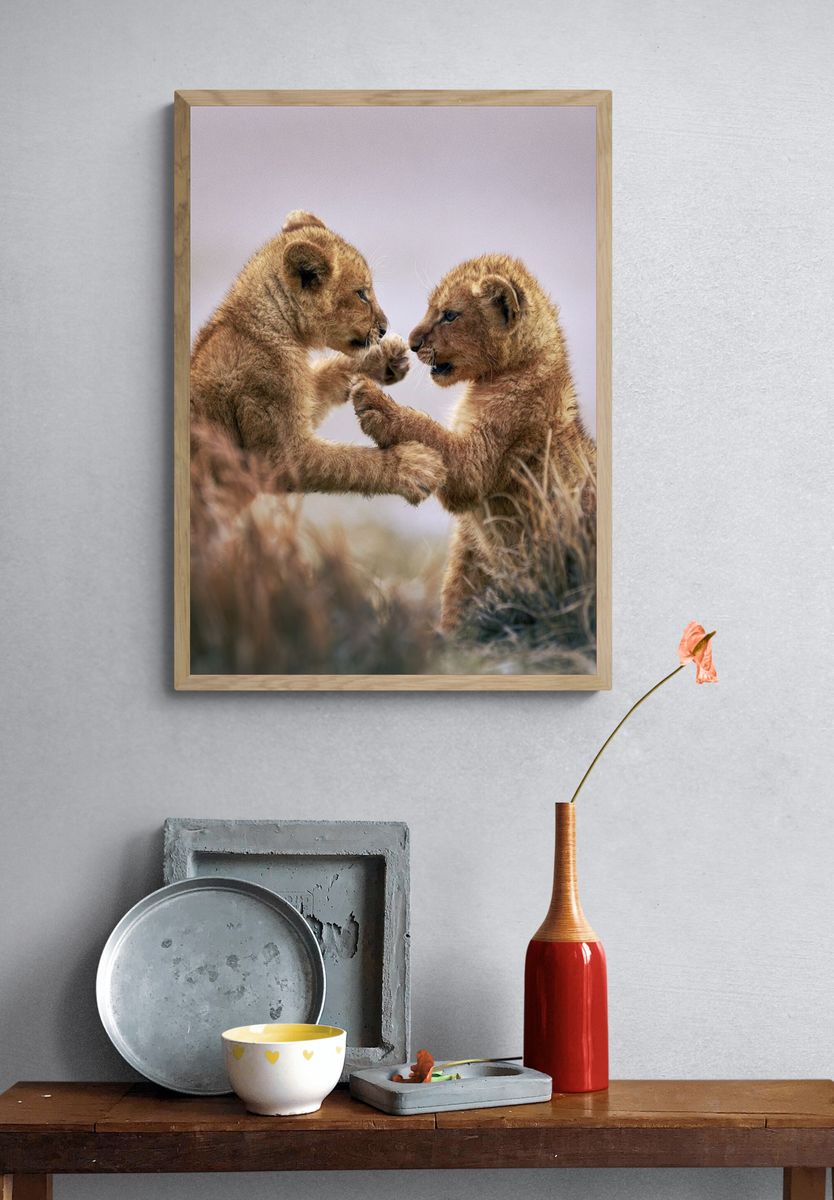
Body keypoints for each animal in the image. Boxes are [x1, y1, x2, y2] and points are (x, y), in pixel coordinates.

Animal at [190, 211, 444, 505]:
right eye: (361, 293)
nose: (383, 328)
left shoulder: (299, 394)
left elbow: (325, 379)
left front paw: (388, 357)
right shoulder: (275, 452)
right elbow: (348, 462)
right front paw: (412, 467)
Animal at [351, 254, 596, 632]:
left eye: (450, 315)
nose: (412, 343)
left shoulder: (482, 460)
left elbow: (433, 435)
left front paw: (372, 401)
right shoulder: (471, 539)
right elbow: (459, 582)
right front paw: (452, 631)